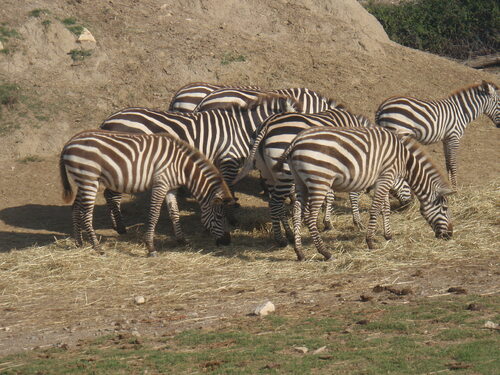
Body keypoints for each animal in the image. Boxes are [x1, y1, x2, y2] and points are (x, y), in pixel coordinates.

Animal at [59, 131, 235, 258]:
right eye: (220, 217)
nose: (228, 241)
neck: (182, 166)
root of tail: (69, 142)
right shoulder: (160, 184)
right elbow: (154, 214)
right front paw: (150, 247)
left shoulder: (171, 188)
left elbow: (175, 213)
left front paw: (182, 240)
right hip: (89, 179)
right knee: (86, 213)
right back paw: (98, 248)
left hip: (82, 181)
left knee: (75, 209)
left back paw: (79, 243)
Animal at [99, 93, 298, 229]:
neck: (242, 128)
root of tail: (108, 120)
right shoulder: (229, 159)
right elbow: (229, 186)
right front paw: (231, 218)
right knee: (112, 194)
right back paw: (120, 227)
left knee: (109, 193)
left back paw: (117, 224)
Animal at [232, 106, 412, 247]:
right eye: (406, 179)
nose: (409, 205)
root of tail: (267, 125)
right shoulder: (354, 165)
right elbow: (351, 195)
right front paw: (356, 221)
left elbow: (329, 195)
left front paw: (325, 221)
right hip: (284, 171)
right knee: (276, 203)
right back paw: (281, 240)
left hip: (269, 173)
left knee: (275, 203)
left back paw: (288, 234)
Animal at [276, 126, 456, 262]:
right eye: (445, 208)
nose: (449, 235)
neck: (404, 160)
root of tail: (296, 141)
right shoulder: (387, 176)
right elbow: (376, 208)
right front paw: (370, 241)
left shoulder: (381, 180)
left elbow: (385, 207)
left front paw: (388, 235)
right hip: (320, 180)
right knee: (310, 216)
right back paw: (325, 252)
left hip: (300, 181)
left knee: (296, 212)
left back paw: (300, 252)